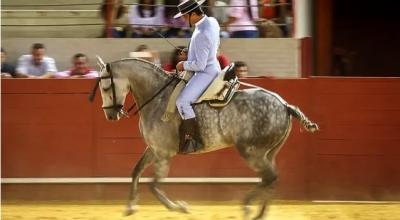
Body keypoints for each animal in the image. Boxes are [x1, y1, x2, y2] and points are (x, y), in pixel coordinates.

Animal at [88, 56, 318, 220]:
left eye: (105, 87)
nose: (110, 115)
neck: (157, 96)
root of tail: (285, 105)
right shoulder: (154, 149)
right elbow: (136, 171)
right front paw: (130, 206)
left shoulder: (163, 153)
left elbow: (154, 185)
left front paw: (180, 208)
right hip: (268, 153)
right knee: (271, 179)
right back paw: (259, 213)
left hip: (252, 152)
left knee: (269, 177)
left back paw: (246, 206)